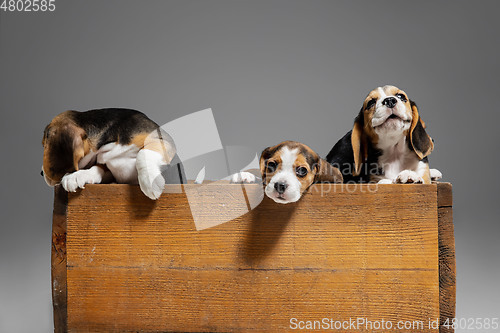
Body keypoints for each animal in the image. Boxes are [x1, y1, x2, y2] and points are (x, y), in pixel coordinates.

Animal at [41, 107, 186, 198]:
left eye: (44, 144)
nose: (41, 173)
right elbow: (97, 167)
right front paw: (78, 175)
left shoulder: (163, 140)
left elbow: (143, 154)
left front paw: (150, 182)